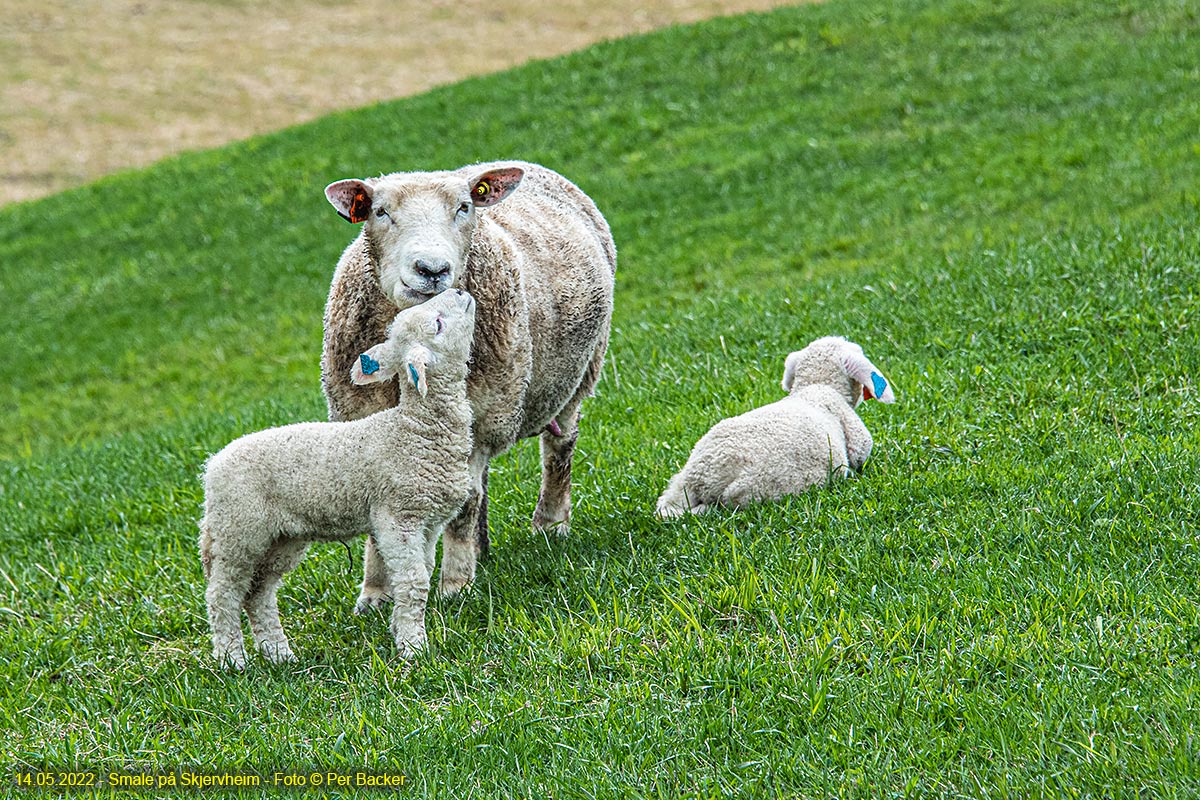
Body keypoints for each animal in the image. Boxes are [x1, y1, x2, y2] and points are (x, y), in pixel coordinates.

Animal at [199, 287, 475, 671]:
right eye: (437, 324)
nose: (461, 291)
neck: (413, 429)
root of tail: (213, 466)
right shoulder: (397, 517)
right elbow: (413, 580)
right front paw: (413, 648)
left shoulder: (429, 521)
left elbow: (422, 571)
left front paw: (402, 631)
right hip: (237, 530)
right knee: (223, 593)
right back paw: (231, 659)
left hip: (281, 538)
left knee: (258, 594)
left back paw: (279, 654)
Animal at [319, 159, 614, 606]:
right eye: (380, 212)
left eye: (463, 207)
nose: (432, 270)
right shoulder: (363, 419)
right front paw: (375, 593)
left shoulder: (485, 415)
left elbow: (464, 504)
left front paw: (455, 585)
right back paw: (484, 548)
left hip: (578, 373)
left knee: (559, 446)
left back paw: (549, 524)